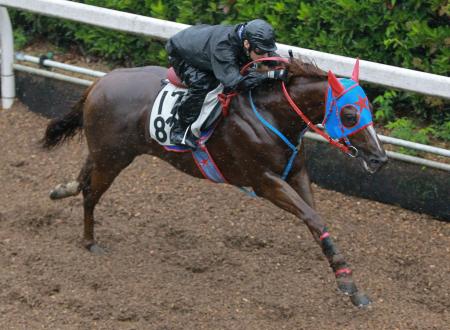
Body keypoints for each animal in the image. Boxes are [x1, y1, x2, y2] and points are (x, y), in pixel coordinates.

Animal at [41, 57, 386, 306]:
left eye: (369, 109)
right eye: (350, 114)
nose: (380, 158)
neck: (270, 114)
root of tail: (100, 82)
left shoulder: (296, 173)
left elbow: (317, 221)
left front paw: (349, 283)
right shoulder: (264, 181)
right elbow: (313, 218)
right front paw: (348, 283)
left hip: (105, 152)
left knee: (84, 178)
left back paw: (62, 190)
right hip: (113, 158)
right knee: (91, 194)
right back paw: (90, 241)